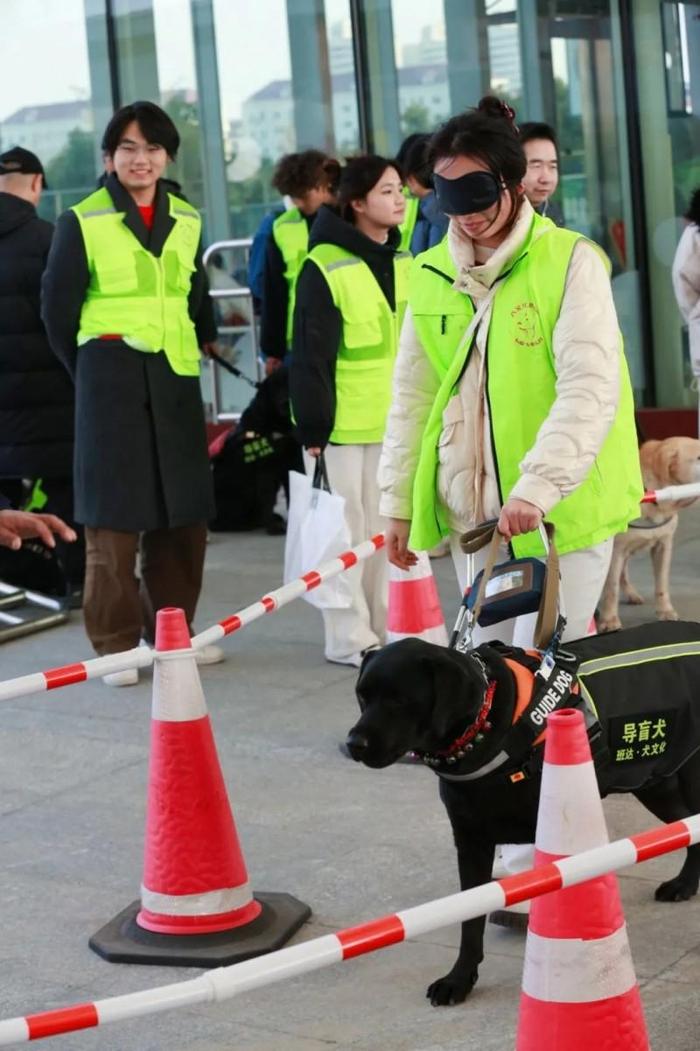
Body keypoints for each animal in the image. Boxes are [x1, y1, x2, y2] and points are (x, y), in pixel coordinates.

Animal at [344, 617, 700, 1004]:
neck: (486, 729)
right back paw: (684, 884)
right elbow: (471, 920)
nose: (353, 744)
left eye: (400, 700)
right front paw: (460, 978)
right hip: (656, 782)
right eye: (362, 696)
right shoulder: (471, 841)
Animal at [592, 435, 697, 630]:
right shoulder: (616, 551)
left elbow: (662, 584)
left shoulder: (663, 545)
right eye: (699, 457)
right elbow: (611, 589)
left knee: (624, 574)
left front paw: (665, 610)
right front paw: (609, 620)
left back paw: (631, 594)